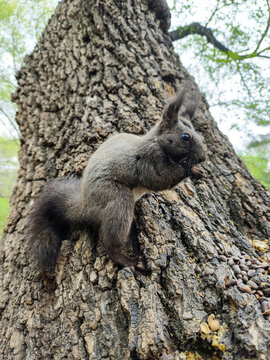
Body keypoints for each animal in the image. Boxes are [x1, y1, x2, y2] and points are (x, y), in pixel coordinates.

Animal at [26, 89, 206, 272]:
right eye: (185, 137)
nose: (203, 157)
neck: (156, 142)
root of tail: (86, 205)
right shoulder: (149, 160)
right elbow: (160, 179)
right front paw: (191, 169)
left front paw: (197, 170)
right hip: (116, 198)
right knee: (112, 241)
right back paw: (128, 260)